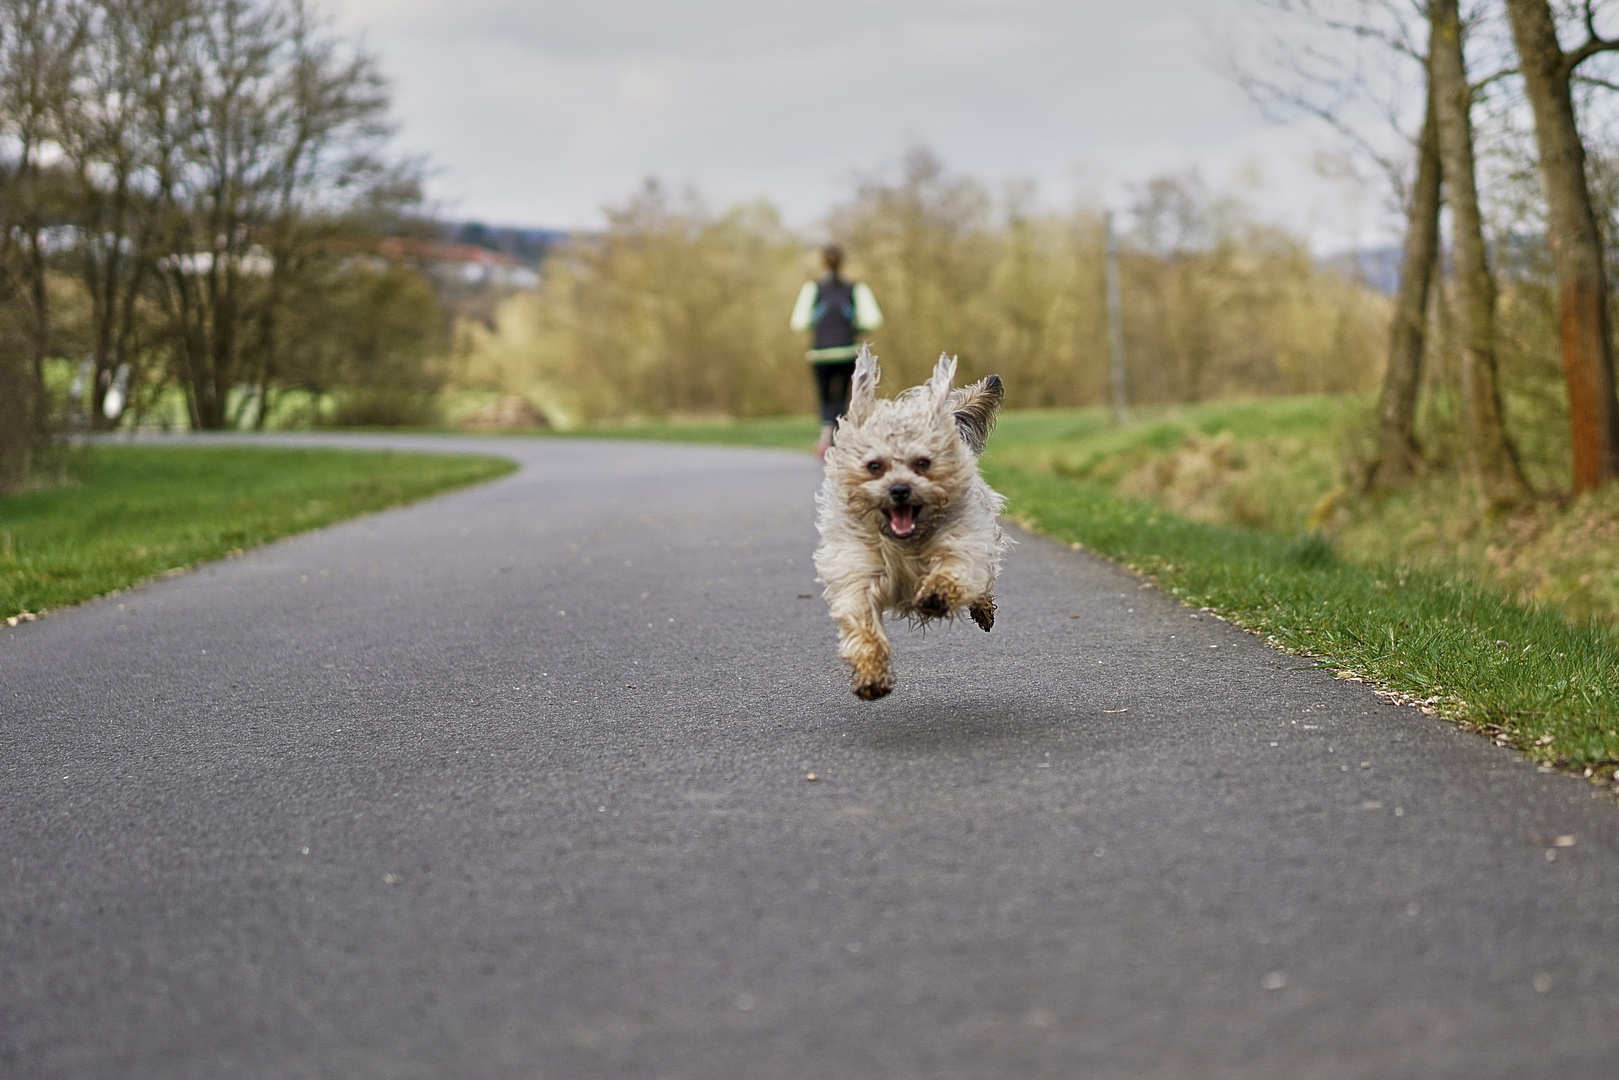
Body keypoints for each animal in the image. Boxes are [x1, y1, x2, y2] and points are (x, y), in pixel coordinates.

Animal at [815, 348, 1003, 702]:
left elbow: (953, 572)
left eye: (922, 463)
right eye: (874, 466)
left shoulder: (962, 543)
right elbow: (862, 624)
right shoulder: (858, 572)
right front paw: (871, 674)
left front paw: (936, 593)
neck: (904, 541)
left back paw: (980, 607)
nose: (899, 489)